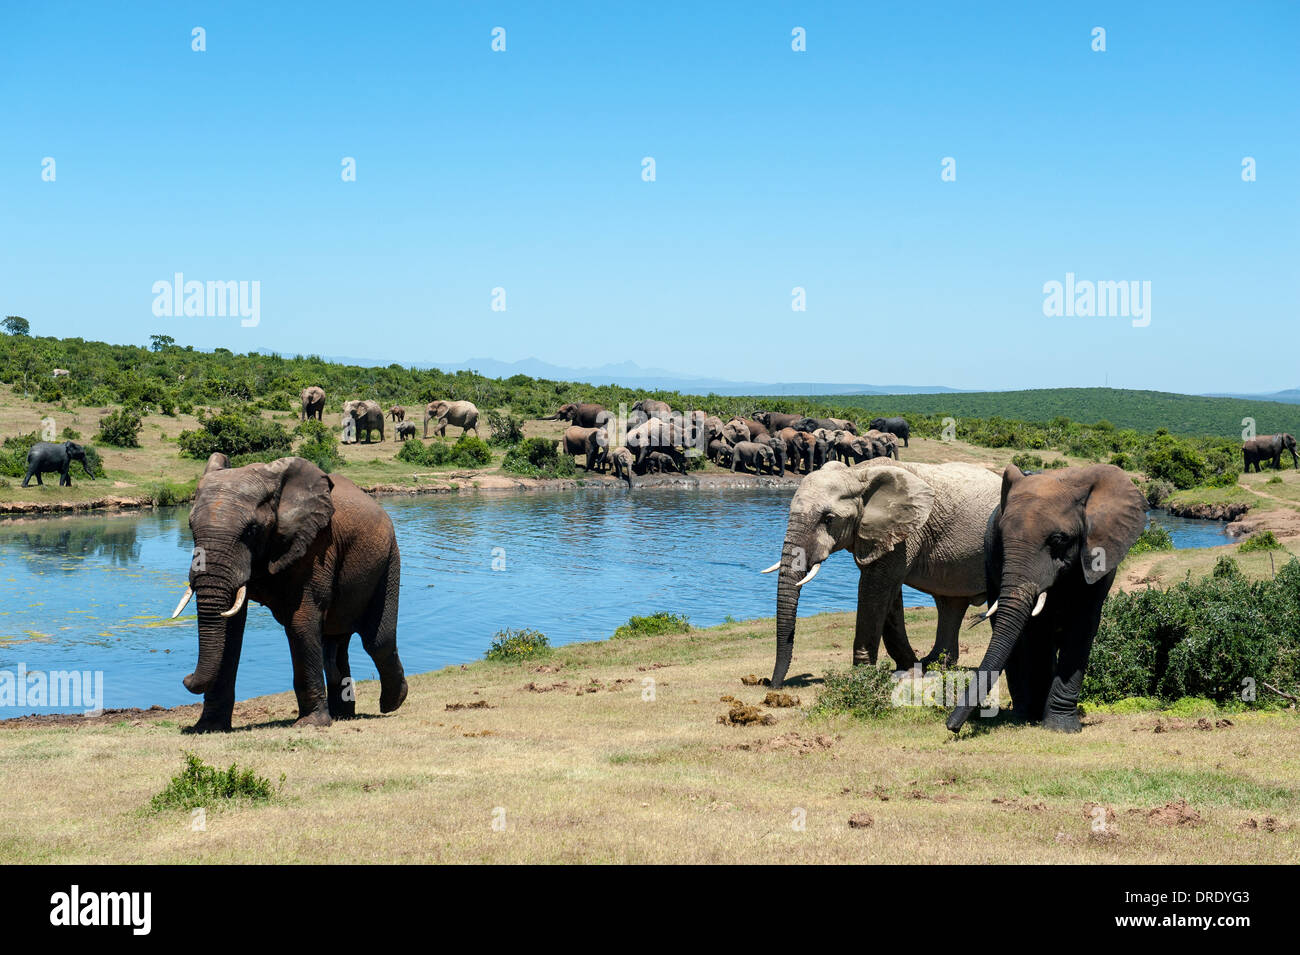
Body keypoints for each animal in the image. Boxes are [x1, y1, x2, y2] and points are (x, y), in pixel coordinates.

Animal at [166, 454, 405, 732]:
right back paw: (344, 715)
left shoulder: (315, 546)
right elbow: (230, 629)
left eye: (251, 530)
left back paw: (391, 703)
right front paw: (208, 727)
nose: (186, 678)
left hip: (389, 559)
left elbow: (301, 623)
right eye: (191, 527)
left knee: (377, 641)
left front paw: (311, 724)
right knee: (334, 644)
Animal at [759, 462, 1003, 686]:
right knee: (950, 604)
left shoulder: (905, 534)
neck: (857, 473)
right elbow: (888, 596)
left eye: (828, 519)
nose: (771, 684)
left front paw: (862, 677)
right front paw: (909, 670)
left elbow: (875, 589)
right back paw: (934, 664)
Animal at [946, 467, 1149, 738]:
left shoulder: (1100, 557)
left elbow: (1082, 627)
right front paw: (1040, 717)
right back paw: (1025, 711)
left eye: (1058, 539)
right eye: (1002, 538)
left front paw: (1061, 726)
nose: (952, 727)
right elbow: (1037, 630)